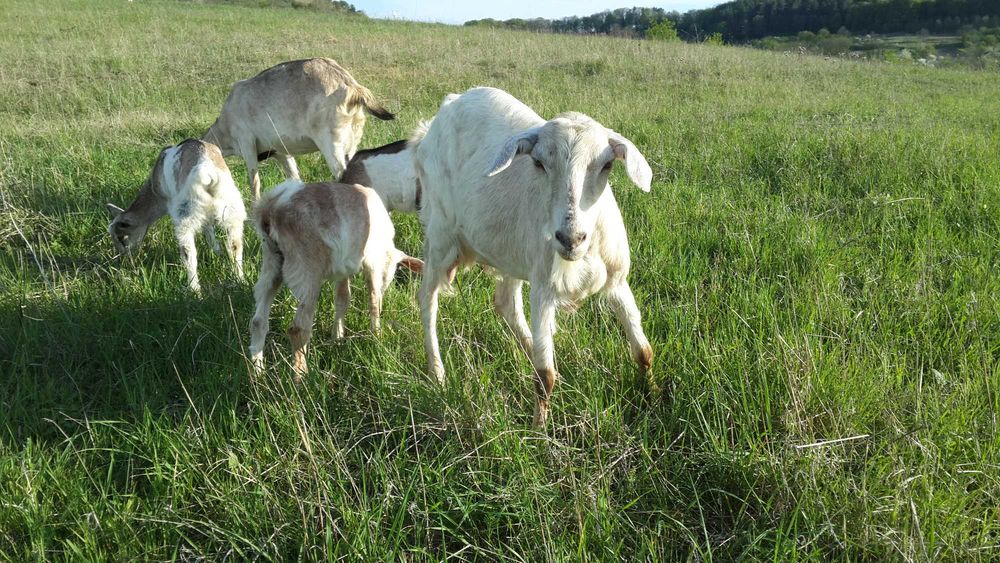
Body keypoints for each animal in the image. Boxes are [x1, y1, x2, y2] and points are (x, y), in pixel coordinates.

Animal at [106, 139, 245, 294]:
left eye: (122, 238)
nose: (124, 260)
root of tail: (208, 174)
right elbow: (209, 231)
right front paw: (216, 252)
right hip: (232, 211)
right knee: (235, 246)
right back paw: (239, 280)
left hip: (185, 214)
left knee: (189, 252)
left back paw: (194, 290)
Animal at [203, 58, 395, 200]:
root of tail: (353, 87)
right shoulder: (280, 151)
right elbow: (294, 177)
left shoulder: (246, 142)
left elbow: (254, 180)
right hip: (351, 142)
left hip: (332, 144)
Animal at [248, 180, 423, 377]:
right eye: (393, 271)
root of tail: (272, 207)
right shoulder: (372, 262)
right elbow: (373, 300)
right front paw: (376, 337)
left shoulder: (342, 269)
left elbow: (343, 299)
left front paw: (336, 339)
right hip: (307, 268)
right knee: (298, 329)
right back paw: (301, 377)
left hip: (272, 263)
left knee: (258, 320)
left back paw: (257, 373)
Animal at [411, 87, 654, 426]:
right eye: (538, 162)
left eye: (606, 165)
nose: (569, 238)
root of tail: (449, 104)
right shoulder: (543, 288)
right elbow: (544, 376)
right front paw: (540, 431)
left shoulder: (617, 281)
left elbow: (643, 352)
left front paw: (653, 395)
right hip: (440, 233)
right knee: (427, 298)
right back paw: (437, 373)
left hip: (510, 251)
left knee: (505, 304)